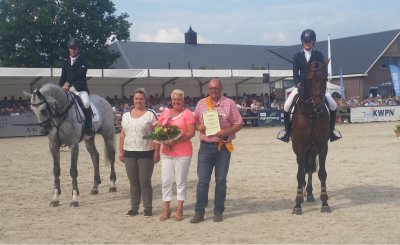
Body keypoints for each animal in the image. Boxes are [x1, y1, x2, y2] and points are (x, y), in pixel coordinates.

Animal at [290, 59, 332, 214]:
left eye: (325, 79)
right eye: (308, 79)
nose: (318, 105)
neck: (311, 115)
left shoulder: (322, 146)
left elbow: (322, 173)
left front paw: (325, 202)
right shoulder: (300, 147)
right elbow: (299, 174)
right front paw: (297, 204)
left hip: (312, 149)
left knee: (309, 168)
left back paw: (308, 194)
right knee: (303, 168)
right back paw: (303, 193)